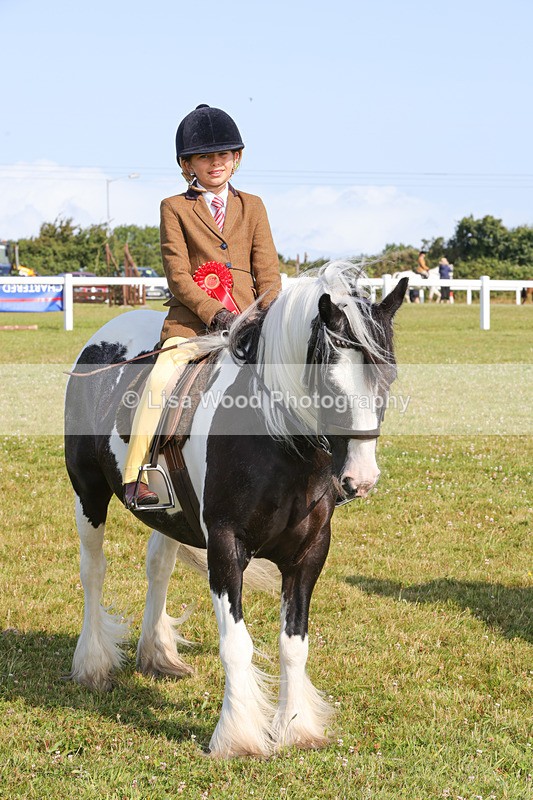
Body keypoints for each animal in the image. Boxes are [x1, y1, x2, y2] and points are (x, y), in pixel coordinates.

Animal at [64, 262, 408, 758]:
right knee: (93, 571)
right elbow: (236, 645)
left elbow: (294, 645)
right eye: (328, 380)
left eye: (388, 377)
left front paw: (296, 727)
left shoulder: (308, 556)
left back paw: (158, 654)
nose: (360, 480)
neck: (276, 445)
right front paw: (237, 735)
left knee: (158, 567)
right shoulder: (226, 548)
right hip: (88, 492)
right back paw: (93, 664)